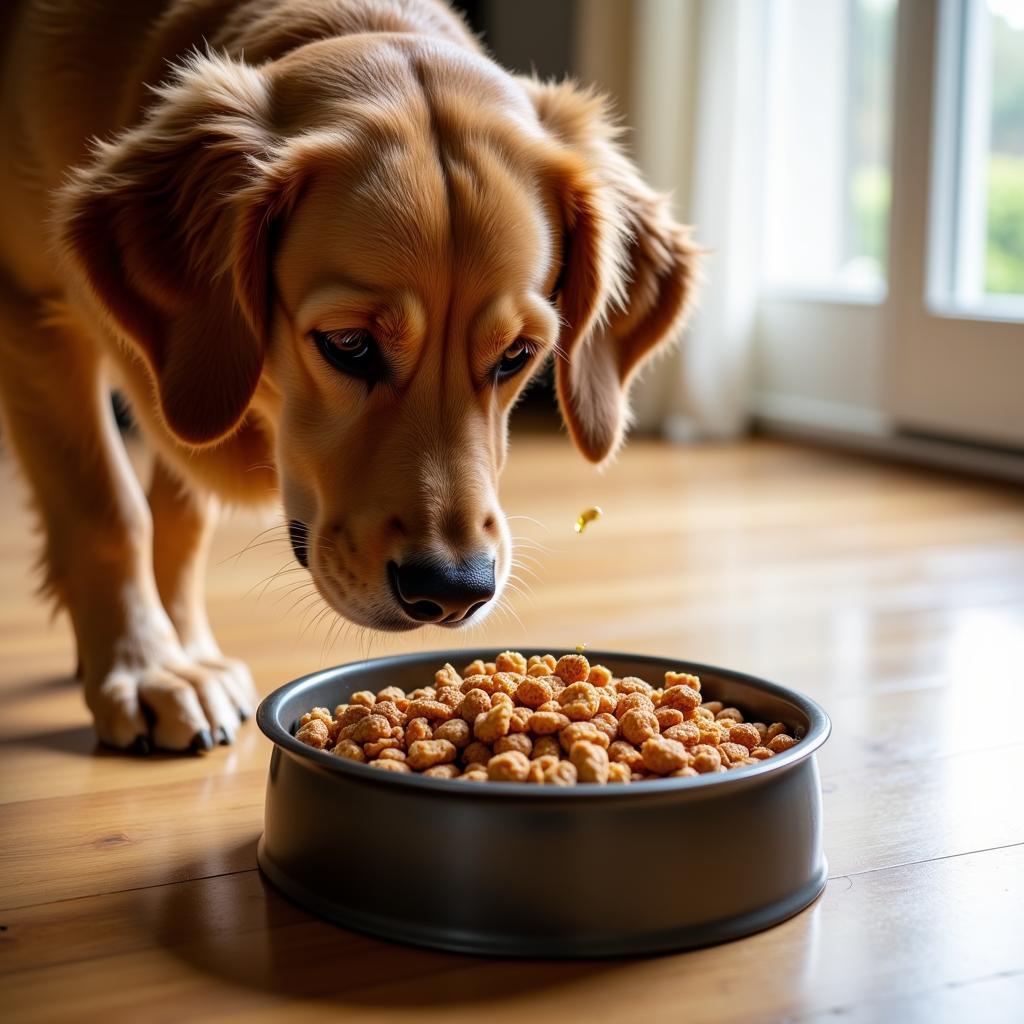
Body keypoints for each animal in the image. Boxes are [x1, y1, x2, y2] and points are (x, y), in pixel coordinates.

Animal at [0, 0, 696, 753]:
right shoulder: (29, 312)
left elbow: (180, 514)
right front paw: (149, 666)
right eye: (349, 344)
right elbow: (109, 511)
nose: (454, 591)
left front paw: (182, 648)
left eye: (517, 354)